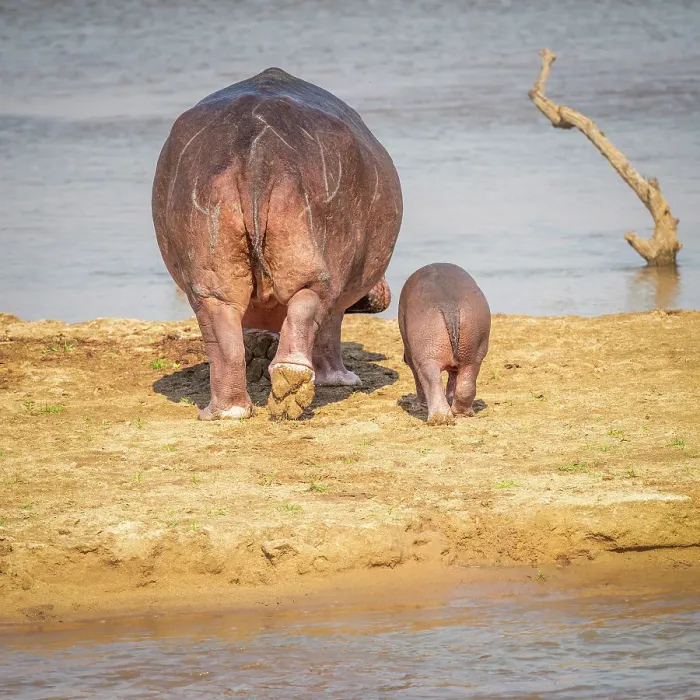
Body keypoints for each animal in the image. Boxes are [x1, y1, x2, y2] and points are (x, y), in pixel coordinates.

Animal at [152, 68, 402, 420]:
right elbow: (330, 329)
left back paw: (227, 411)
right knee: (309, 310)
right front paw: (343, 380)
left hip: (211, 272)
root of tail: (257, 153)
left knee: (223, 333)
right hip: (315, 261)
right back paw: (290, 388)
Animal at [398, 263, 491, 425]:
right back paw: (460, 413)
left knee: (430, 380)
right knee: (467, 382)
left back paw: (438, 418)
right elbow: (452, 381)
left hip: (426, 356)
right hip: (473, 353)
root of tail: (449, 306)